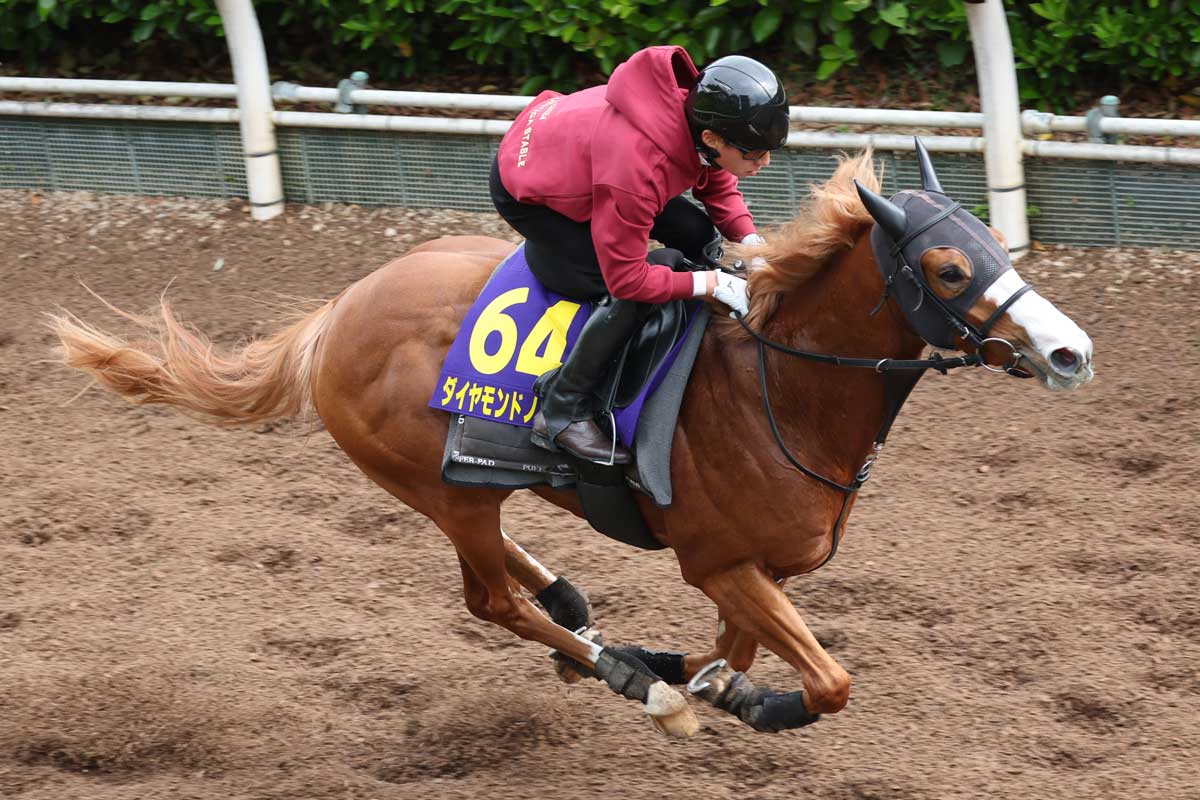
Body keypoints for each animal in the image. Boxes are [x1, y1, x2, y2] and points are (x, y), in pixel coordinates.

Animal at [51, 144, 1094, 737]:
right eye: (948, 268)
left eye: (994, 240)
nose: (1069, 351)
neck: (779, 385)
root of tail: (337, 311)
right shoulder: (718, 559)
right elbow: (826, 678)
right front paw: (717, 698)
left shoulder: (756, 567)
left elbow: (739, 651)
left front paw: (709, 679)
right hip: (442, 487)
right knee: (489, 599)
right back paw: (630, 677)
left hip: (460, 483)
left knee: (517, 575)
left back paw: (588, 618)